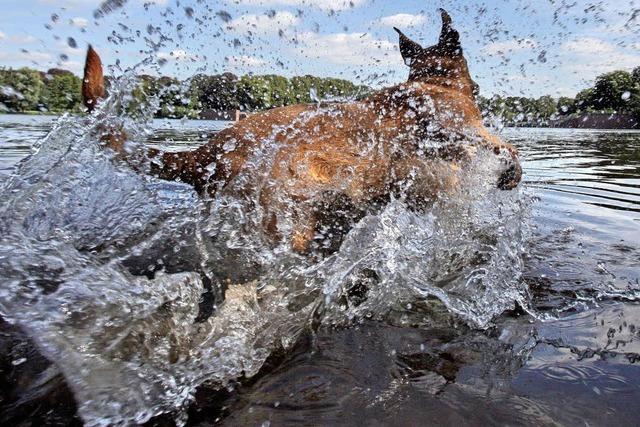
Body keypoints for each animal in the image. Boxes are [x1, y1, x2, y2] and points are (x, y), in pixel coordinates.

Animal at [81, 10, 520, 252]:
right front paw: (509, 174)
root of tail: (206, 154)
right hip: (286, 223)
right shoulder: (467, 135)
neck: (432, 82)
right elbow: (504, 149)